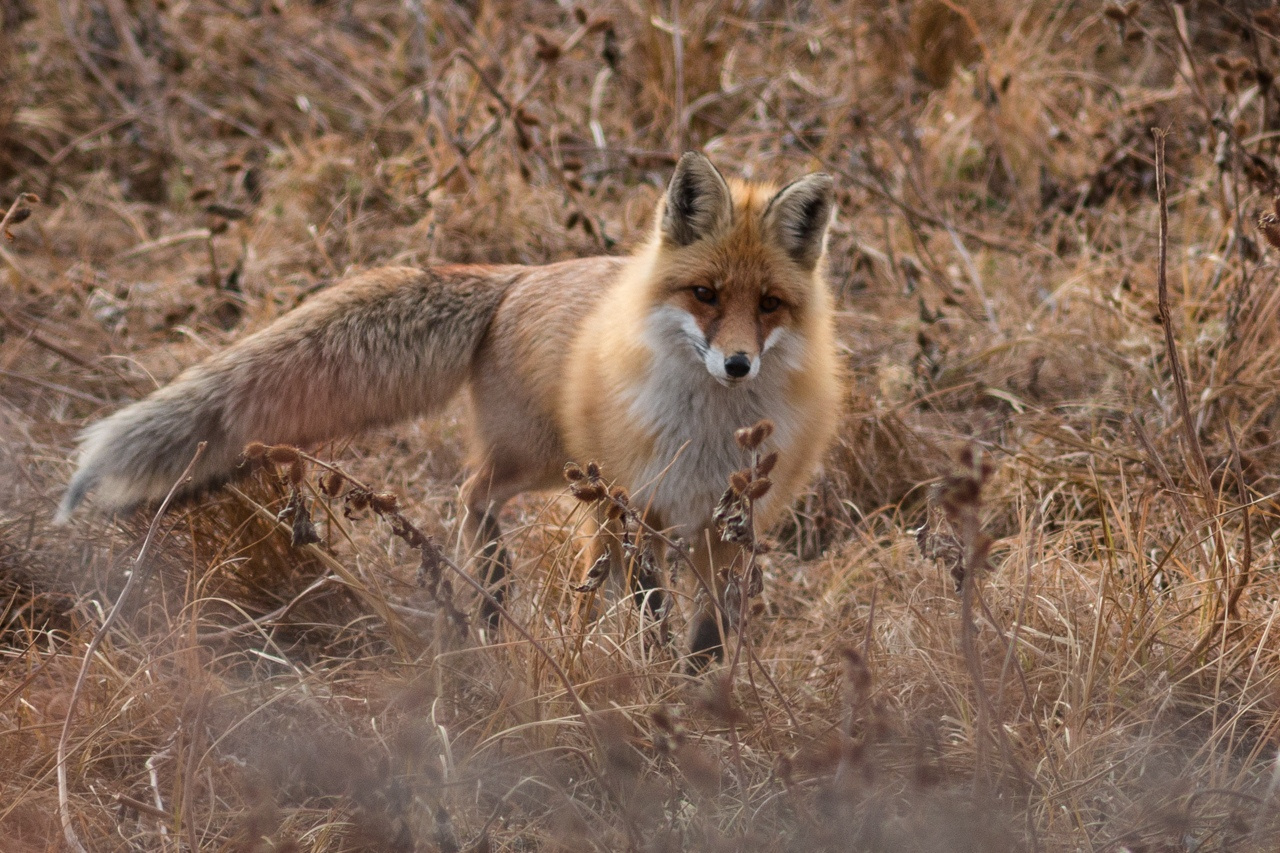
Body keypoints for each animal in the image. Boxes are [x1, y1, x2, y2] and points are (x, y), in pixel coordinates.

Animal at [60, 153, 844, 655]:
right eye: (705, 294)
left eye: (769, 304)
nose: (737, 363)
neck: (710, 431)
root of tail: (519, 276)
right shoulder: (647, 507)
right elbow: (654, 617)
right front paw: (656, 686)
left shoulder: (729, 525)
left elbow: (710, 636)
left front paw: (696, 699)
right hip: (543, 460)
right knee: (474, 492)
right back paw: (492, 597)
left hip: (586, 493)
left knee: (583, 572)